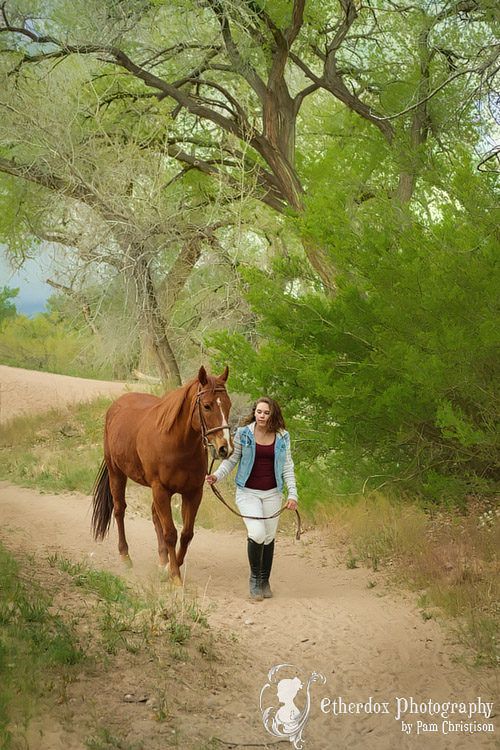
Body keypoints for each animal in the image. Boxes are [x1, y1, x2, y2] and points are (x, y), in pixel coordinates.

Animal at [91, 368, 232, 584]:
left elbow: (186, 534)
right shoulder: (161, 490)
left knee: (154, 516)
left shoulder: (192, 493)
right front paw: (174, 576)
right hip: (117, 473)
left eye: (228, 405)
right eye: (207, 406)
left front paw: (168, 567)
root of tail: (116, 406)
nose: (225, 448)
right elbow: (170, 533)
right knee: (119, 510)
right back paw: (125, 556)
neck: (177, 442)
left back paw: (162, 559)